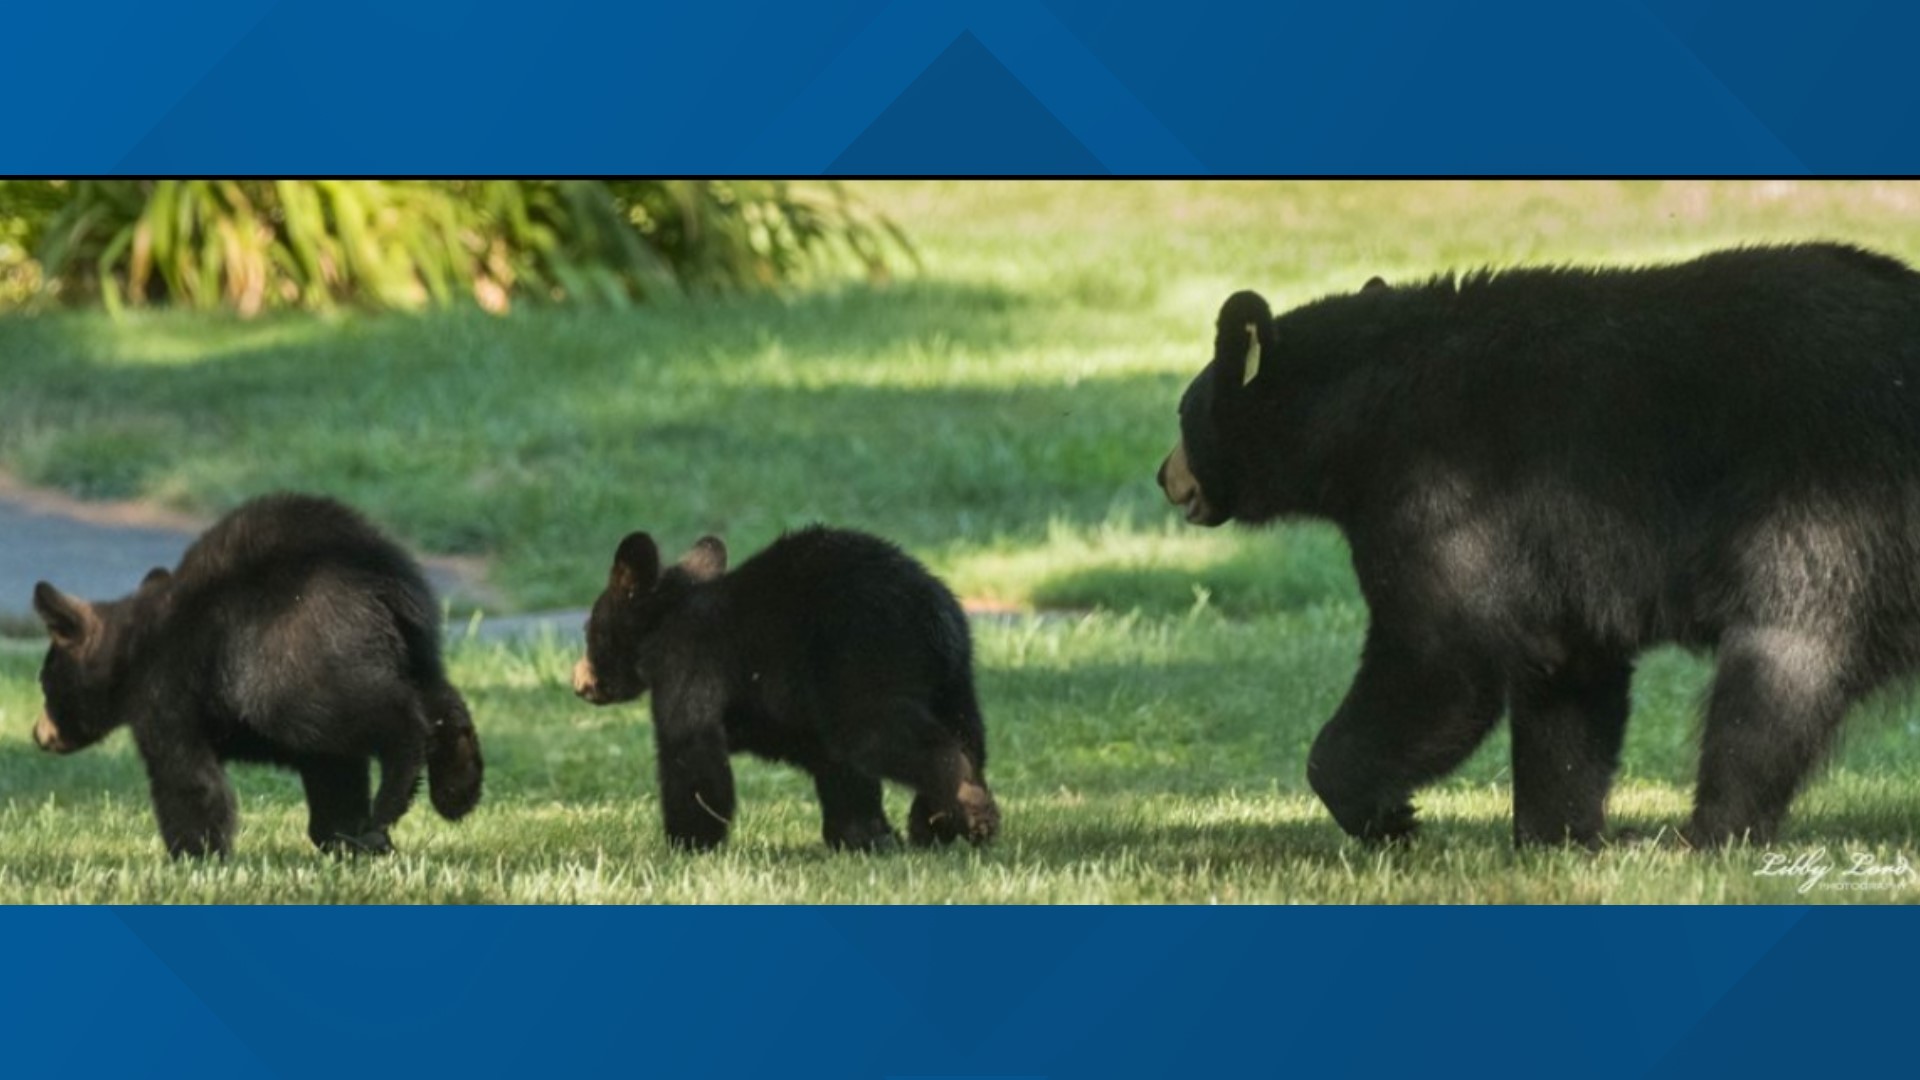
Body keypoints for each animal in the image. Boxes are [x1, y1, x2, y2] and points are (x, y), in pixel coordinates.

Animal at [31, 493, 484, 858]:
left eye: (46, 683)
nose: (38, 734)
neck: (133, 647)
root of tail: (379, 572)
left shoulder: (166, 695)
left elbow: (186, 778)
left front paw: (196, 857)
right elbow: (334, 772)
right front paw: (351, 840)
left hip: (290, 653)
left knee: (376, 712)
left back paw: (395, 791)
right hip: (406, 645)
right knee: (436, 697)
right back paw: (457, 787)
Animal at [571, 525, 998, 852]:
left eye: (590, 633)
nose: (578, 683)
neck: (666, 616)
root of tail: (933, 612)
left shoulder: (688, 661)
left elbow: (692, 750)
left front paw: (689, 840)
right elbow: (831, 763)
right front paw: (865, 835)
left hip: (864, 659)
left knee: (879, 733)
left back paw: (966, 804)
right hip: (954, 678)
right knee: (968, 734)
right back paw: (939, 821)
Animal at [1158, 242, 1920, 849]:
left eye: (1184, 413)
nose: (1166, 477)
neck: (1363, 413)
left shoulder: (1442, 491)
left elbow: (1441, 657)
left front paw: (1386, 814)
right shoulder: (1549, 559)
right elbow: (1565, 677)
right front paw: (1555, 835)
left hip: (1820, 508)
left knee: (1775, 676)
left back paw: (1703, 834)